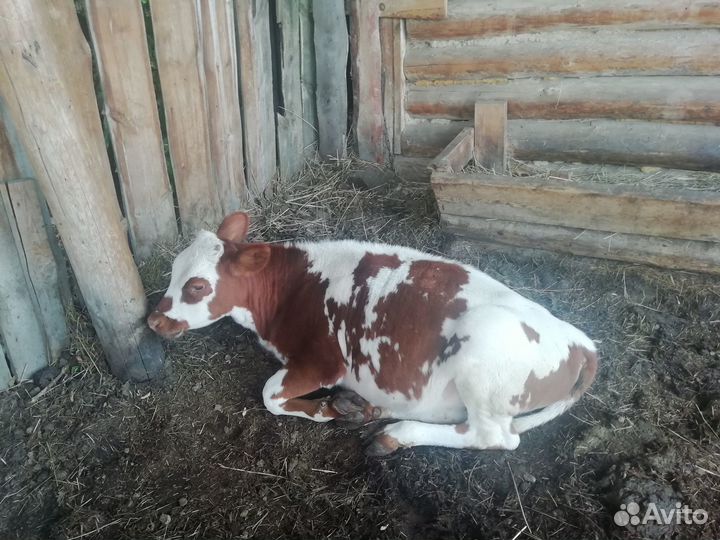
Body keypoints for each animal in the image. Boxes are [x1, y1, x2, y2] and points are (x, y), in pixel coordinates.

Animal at [147, 212, 598, 455]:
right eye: (172, 271)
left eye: (197, 286)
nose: (153, 321)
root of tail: (582, 343)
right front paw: (345, 408)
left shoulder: (322, 362)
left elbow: (271, 395)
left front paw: (326, 410)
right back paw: (368, 411)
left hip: (483, 365)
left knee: (493, 437)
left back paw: (394, 434)